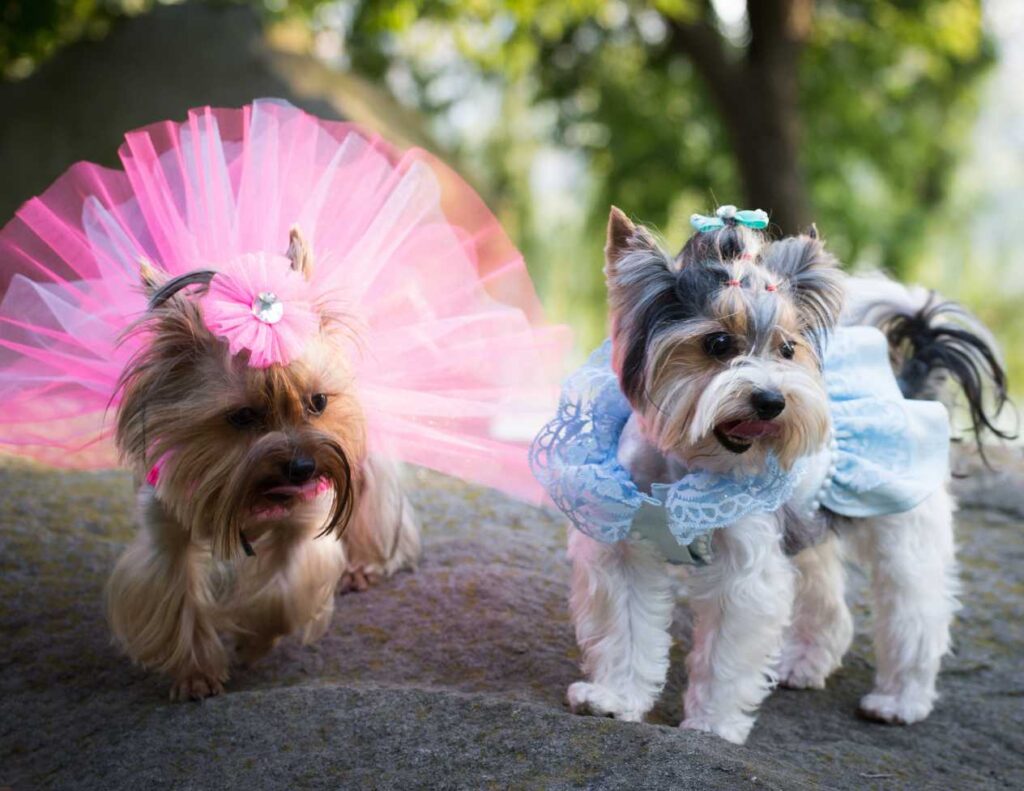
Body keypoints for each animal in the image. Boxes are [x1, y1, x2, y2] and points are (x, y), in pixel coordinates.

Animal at [565, 206, 1011, 745]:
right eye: (717, 343)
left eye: (787, 348)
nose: (771, 401)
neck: (689, 461)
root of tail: (908, 384)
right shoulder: (625, 546)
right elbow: (626, 629)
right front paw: (614, 699)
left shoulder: (744, 564)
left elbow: (725, 652)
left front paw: (711, 725)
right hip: (806, 526)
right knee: (828, 602)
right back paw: (804, 665)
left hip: (903, 529)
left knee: (916, 610)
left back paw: (900, 700)